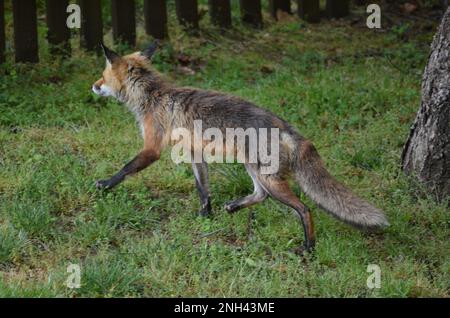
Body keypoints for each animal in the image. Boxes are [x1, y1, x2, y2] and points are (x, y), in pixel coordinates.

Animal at [93, 43, 388, 255]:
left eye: (102, 76)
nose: (93, 86)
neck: (153, 95)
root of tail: (285, 126)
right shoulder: (195, 153)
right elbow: (203, 190)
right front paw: (205, 217)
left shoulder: (152, 148)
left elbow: (125, 169)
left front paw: (104, 185)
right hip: (255, 169)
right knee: (260, 195)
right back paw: (234, 207)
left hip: (268, 177)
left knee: (303, 209)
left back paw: (308, 248)